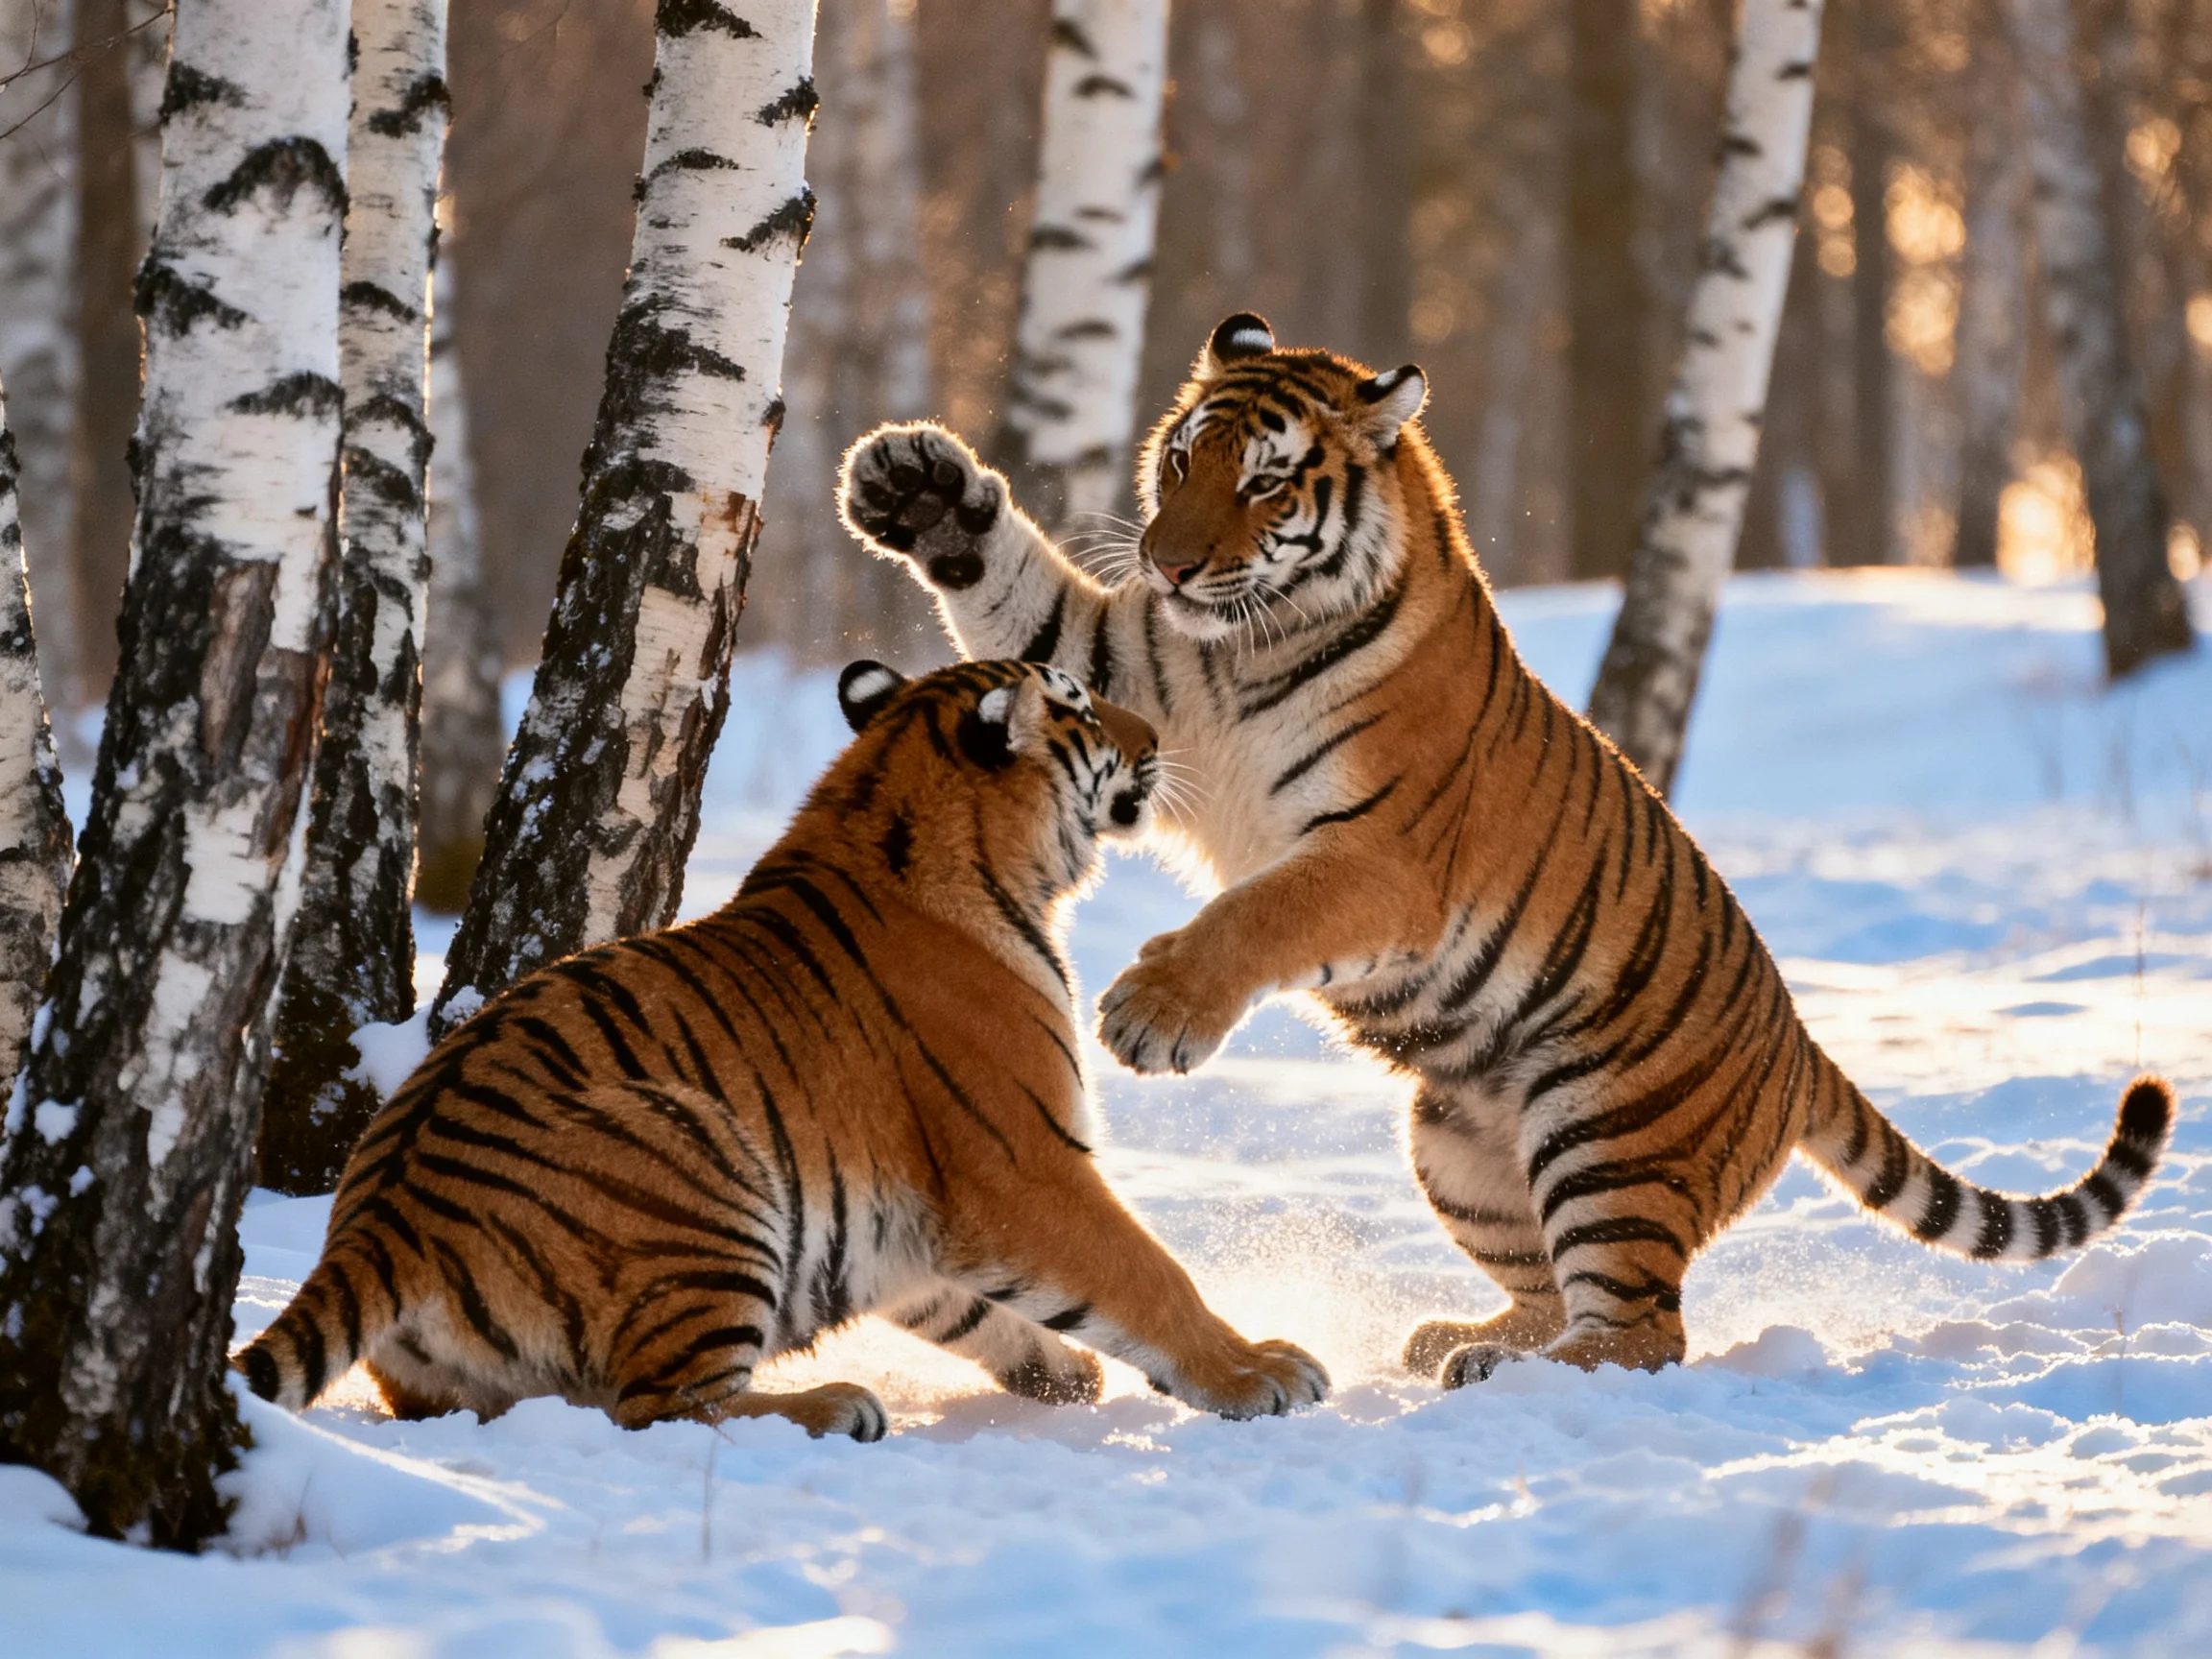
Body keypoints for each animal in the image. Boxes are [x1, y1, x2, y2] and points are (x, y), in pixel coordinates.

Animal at [236, 657, 1330, 1437]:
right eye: (1086, 710)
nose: (1157, 737)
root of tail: (378, 1221)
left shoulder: (911, 1222)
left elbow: (975, 1309)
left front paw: (1065, 1370)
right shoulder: (1022, 1164)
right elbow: (1148, 1273)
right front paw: (1261, 1373)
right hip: (701, 1161)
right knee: (659, 1404)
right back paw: (834, 1406)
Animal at [837, 312, 2176, 1385]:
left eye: (1264, 483)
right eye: (1180, 461)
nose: (1169, 560)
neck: (1245, 644)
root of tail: (1798, 1051)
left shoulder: (1379, 859)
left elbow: (1258, 914)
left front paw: (1151, 1015)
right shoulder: (1136, 677)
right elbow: (1028, 606)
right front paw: (916, 487)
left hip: (1607, 1136)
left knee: (1647, 1330)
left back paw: (1521, 1370)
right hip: (1459, 1149)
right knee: (1552, 1289)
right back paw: (1463, 1340)